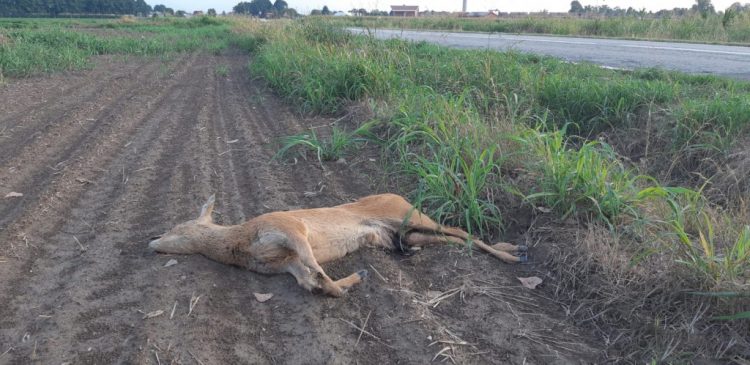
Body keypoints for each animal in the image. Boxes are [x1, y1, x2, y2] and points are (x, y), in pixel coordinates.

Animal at [150, 193, 528, 296]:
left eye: (176, 228)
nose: (152, 242)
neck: (240, 243)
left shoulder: (290, 228)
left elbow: (316, 269)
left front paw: (344, 284)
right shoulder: (284, 264)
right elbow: (309, 281)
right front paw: (348, 282)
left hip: (409, 214)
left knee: (460, 230)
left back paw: (512, 254)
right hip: (403, 233)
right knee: (447, 239)